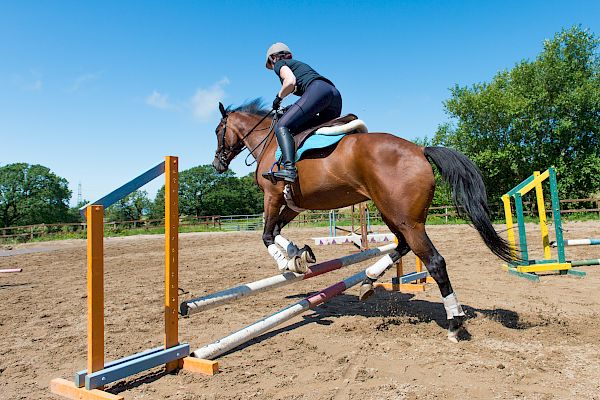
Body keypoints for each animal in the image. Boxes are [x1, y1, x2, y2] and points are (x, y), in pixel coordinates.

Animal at [211, 99, 510, 340]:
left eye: (217, 131)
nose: (217, 165)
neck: (269, 140)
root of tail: (420, 149)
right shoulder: (294, 204)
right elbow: (276, 231)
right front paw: (300, 254)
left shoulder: (272, 196)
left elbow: (266, 235)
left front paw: (288, 262)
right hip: (393, 214)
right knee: (402, 245)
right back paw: (368, 280)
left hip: (405, 220)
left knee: (434, 261)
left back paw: (454, 322)